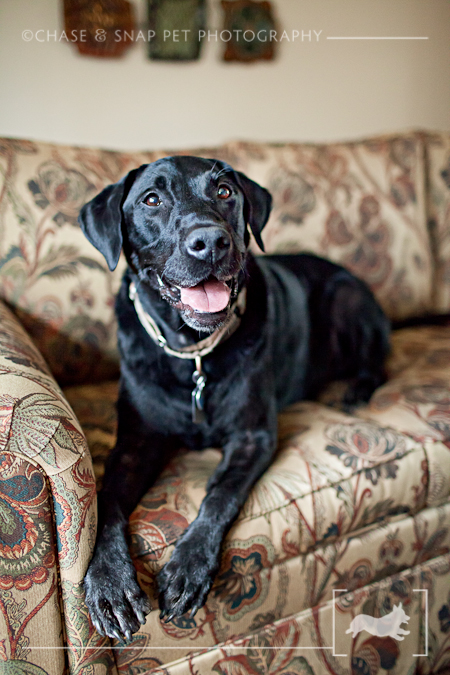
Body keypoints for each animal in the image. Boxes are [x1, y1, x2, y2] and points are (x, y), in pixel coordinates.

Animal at [79, 156, 388, 640]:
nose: (209, 241)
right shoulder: (134, 441)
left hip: (347, 297)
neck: (192, 353)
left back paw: (353, 390)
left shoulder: (252, 436)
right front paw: (109, 581)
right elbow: (107, 498)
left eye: (224, 191)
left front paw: (189, 566)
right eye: (152, 199)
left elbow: (220, 492)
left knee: (376, 363)